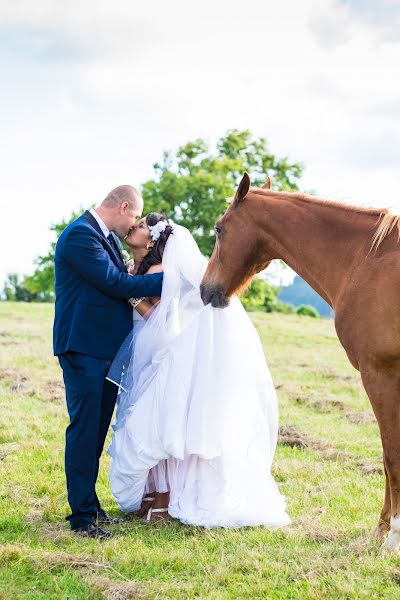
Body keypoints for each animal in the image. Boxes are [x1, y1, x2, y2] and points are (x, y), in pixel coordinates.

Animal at [202, 171, 400, 552]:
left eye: (219, 229)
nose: (205, 290)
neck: (367, 259)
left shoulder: (381, 375)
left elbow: (391, 456)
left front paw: (392, 535)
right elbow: (388, 458)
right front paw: (381, 530)